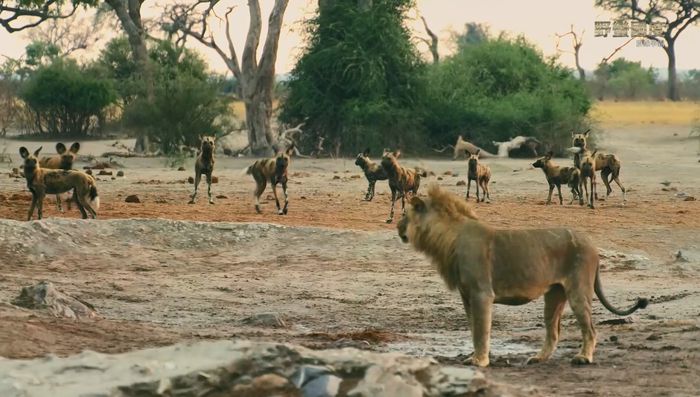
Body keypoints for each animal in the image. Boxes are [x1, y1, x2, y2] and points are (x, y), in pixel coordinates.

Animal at [396, 184, 648, 366]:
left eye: (405, 214)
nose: (397, 227)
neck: (447, 238)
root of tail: (592, 243)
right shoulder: (466, 295)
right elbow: (473, 327)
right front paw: (473, 357)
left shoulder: (481, 293)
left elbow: (481, 329)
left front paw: (479, 361)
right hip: (554, 295)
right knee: (554, 331)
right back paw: (538, 358)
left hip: (578, 289)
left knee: (590, 328)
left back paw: (583, 358)